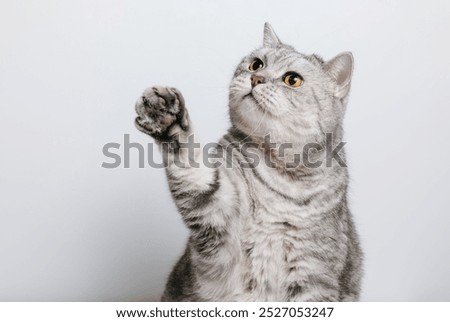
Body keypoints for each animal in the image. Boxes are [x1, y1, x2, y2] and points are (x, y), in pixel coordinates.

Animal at [134, 23, 362, 302]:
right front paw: (167, 117)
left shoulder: (314, 274)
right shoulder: (218, 210)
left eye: (292, 79)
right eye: (256, 65)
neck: (281, 172)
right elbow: (191, 164)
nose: (256, 79)